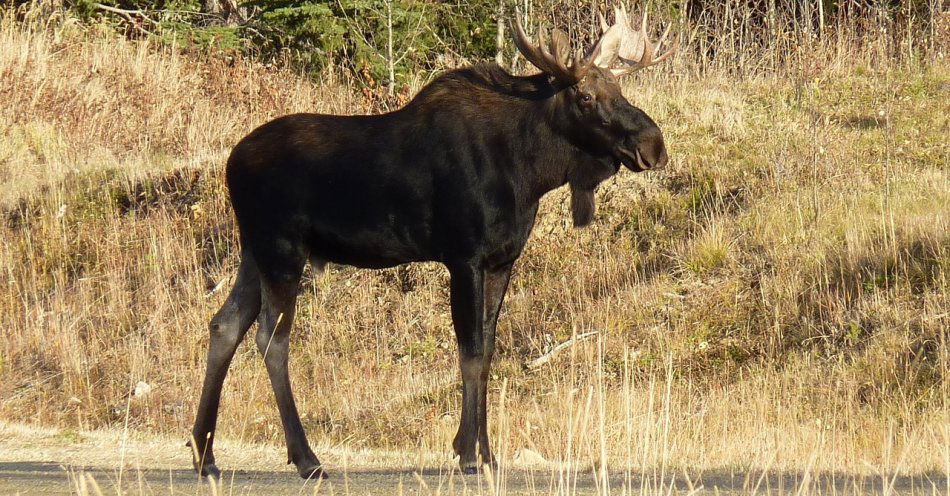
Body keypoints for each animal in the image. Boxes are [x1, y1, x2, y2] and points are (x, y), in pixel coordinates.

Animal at [188, 7, 676, 478]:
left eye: (619, 87)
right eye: (585, 97)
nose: (653, 144)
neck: (530, 171)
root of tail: (230, 163)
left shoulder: (502, 260)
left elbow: (488, 350)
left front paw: (486, 453)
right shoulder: (464, 256)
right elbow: (471, 352)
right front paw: (468, 454)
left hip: (253, 252)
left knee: (224, 325)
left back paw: (205, 453)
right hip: (282, 249)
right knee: (271, 338)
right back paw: (306, 458)